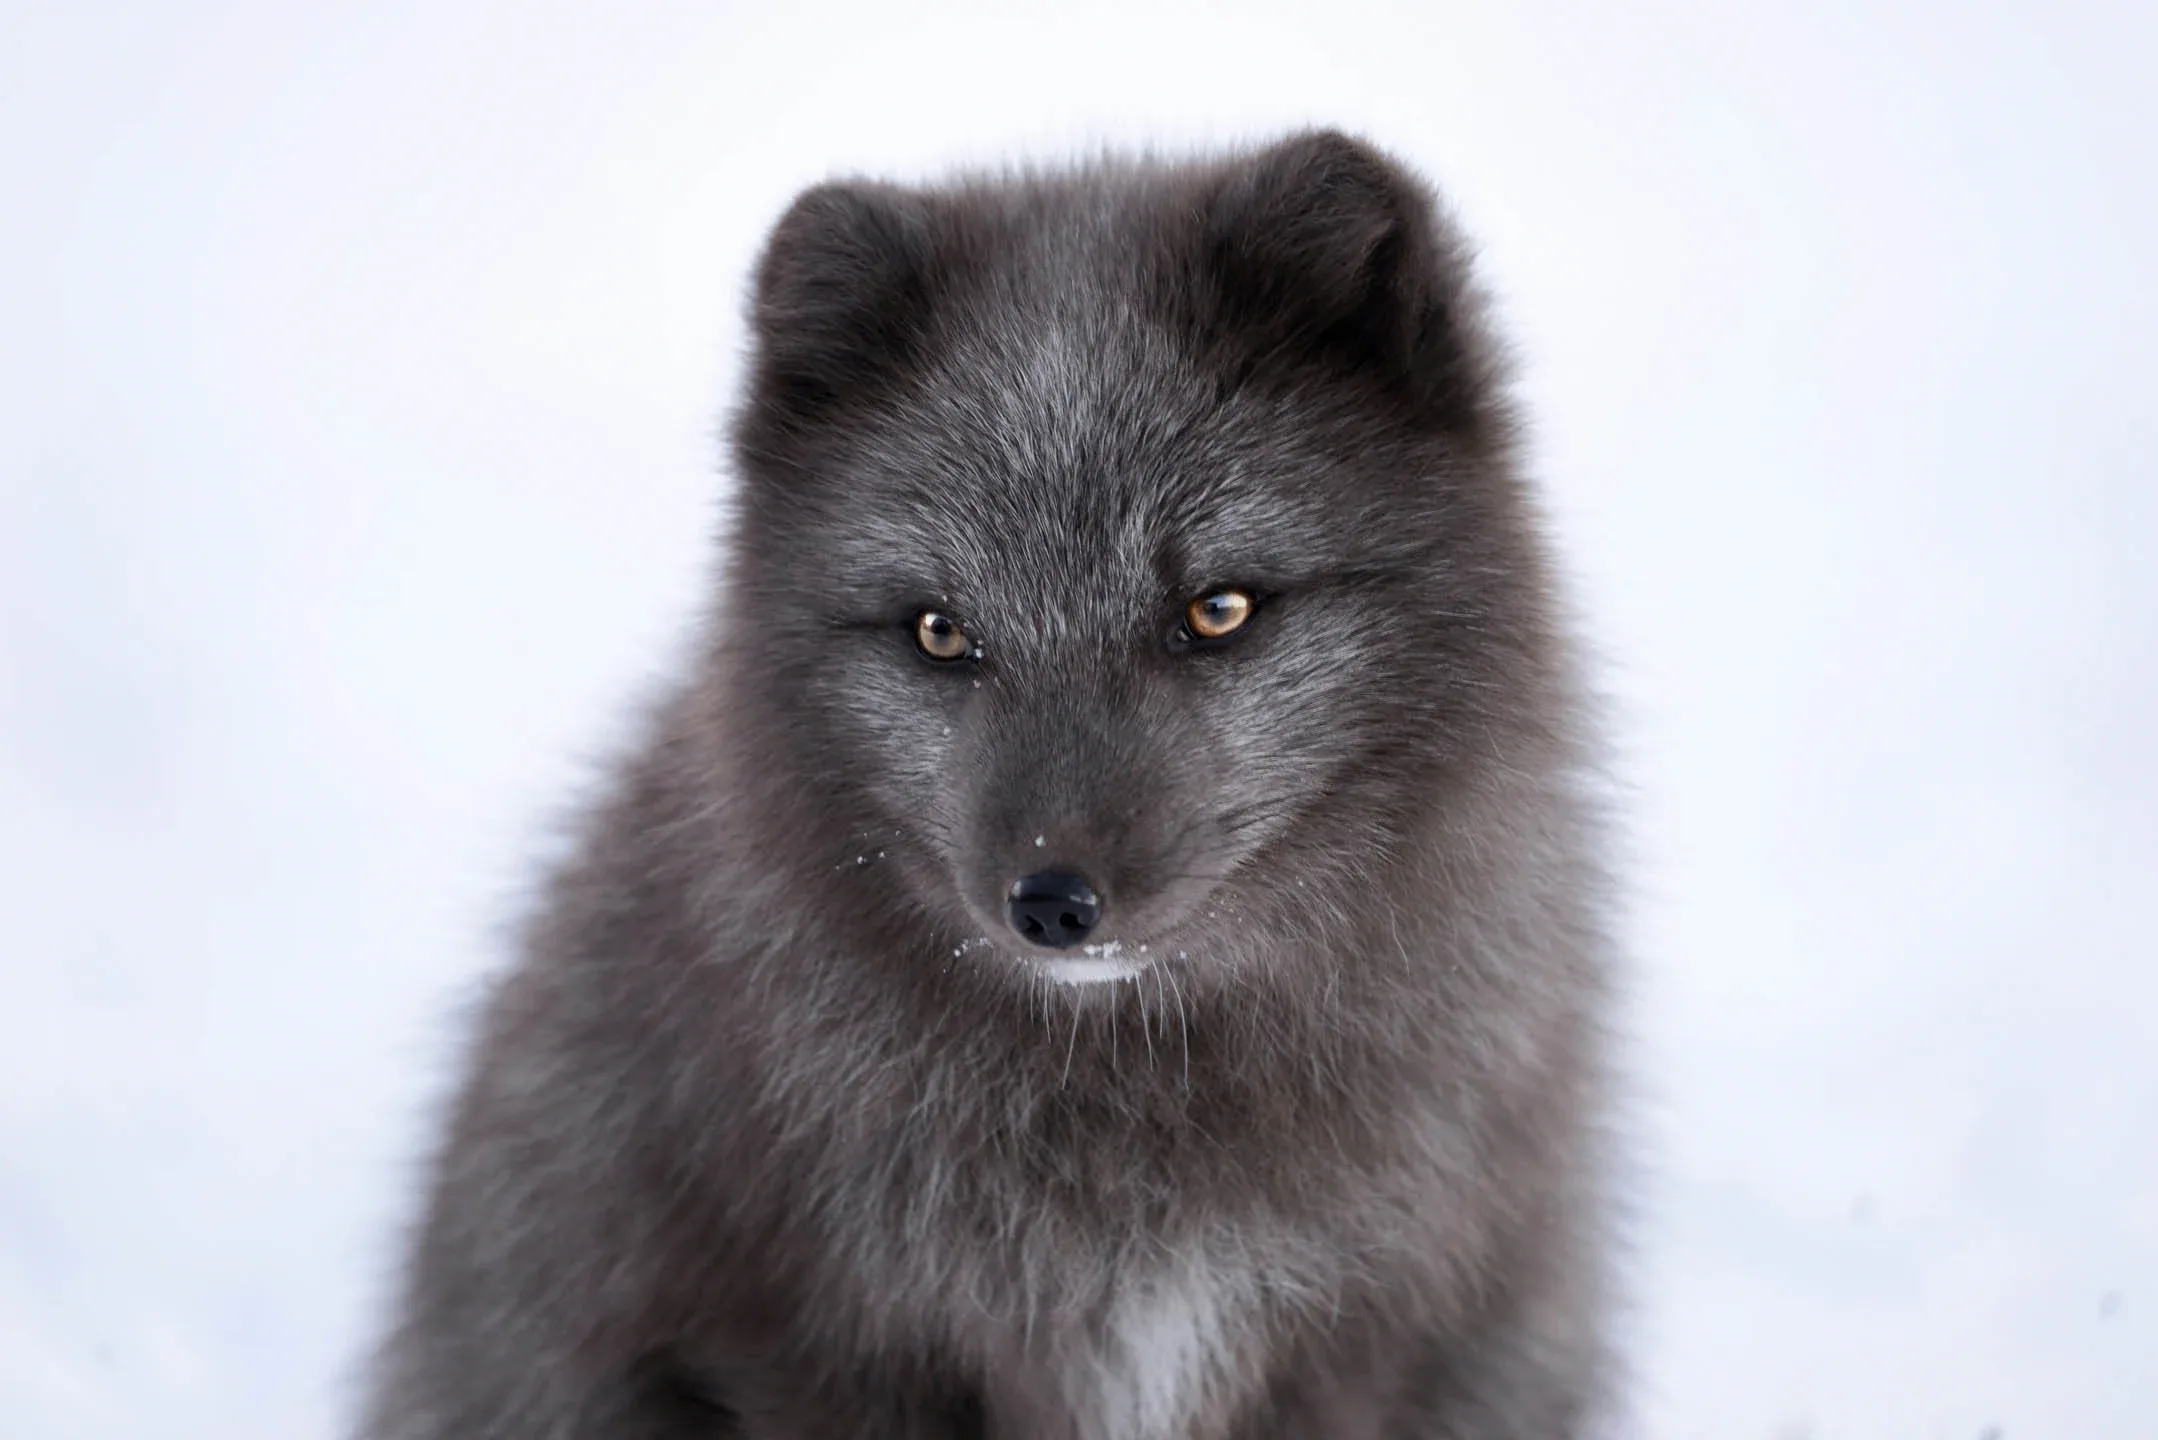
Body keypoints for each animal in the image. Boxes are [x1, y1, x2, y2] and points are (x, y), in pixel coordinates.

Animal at [355, 129, 1622, 1439]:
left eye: (1216, 609)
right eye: (939, 632)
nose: (1051, 904)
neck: (1131, 1113)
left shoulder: (1366, 1336)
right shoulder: (813, 1341)